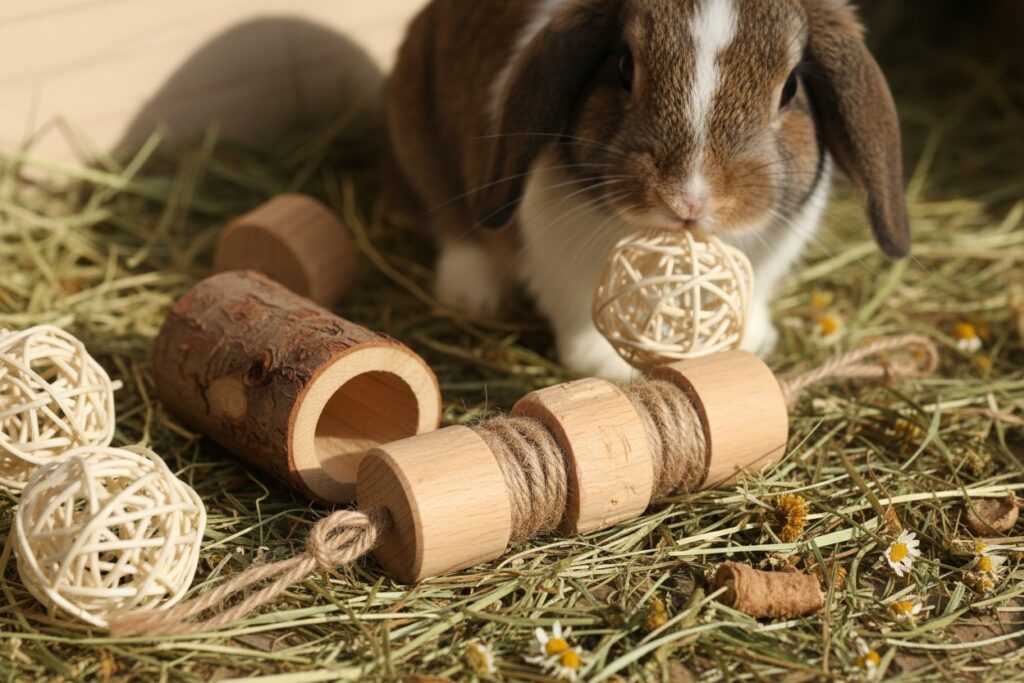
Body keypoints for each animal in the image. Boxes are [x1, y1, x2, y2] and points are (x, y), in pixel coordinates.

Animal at [386, 0, 909, 382]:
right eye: (623, 66)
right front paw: (608, 366)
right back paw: (473, 294)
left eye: (790, 88)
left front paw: (752, 342)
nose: (689, 201)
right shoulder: (559, 263)